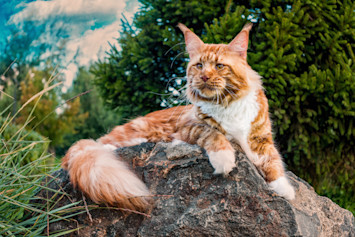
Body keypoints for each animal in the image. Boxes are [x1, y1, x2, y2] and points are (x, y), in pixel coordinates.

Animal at [62, 22, 296, 211]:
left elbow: (273, 160)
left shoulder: (261, 136)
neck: (225, 104)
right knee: (101, 143)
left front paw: (284, 188)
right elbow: (213, 134)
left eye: (219, 66)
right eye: (199, 65)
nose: (204, 77)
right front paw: (224, 159)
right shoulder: (188, 125)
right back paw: (109, 148)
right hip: (134, 133)